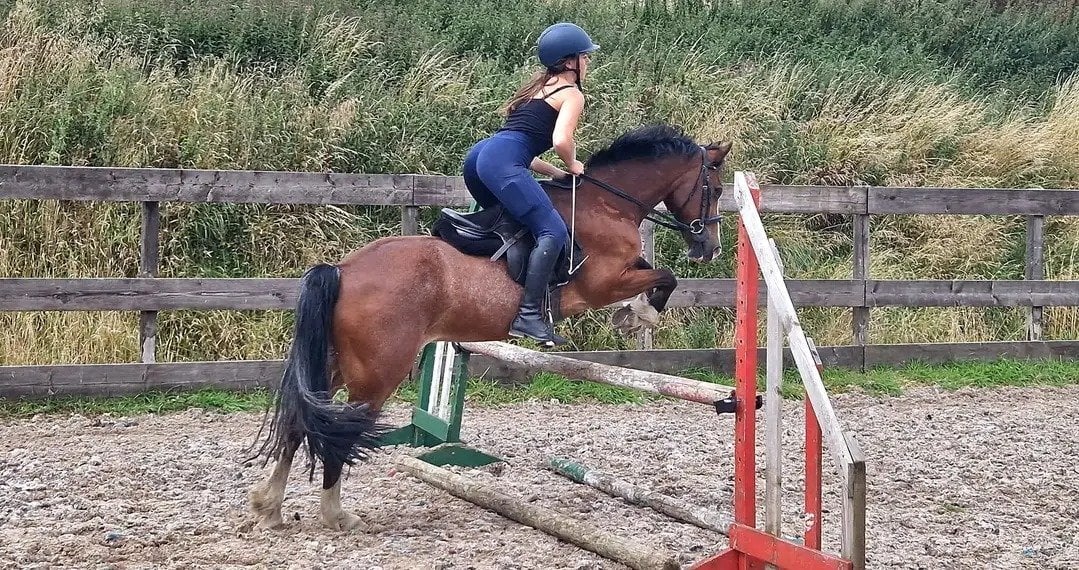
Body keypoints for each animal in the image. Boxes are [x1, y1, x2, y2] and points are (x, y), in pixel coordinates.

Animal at [247, 123, 732, 531]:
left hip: (331, 365)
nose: (709, 248)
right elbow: (665, 276)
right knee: (339, 432)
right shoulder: (602, 282)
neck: (607, 204)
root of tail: (343, 270)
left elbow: (656, 273)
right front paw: (640, 315)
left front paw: (632, 314)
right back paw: (336, 516)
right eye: (715, 189)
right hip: (377, 372)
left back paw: (269, 508)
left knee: (302, 423)